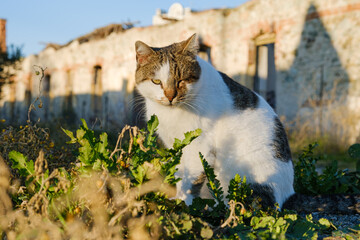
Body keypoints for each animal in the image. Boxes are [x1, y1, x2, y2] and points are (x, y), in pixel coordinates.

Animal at [134, 33, 294, 208]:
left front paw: (184, 201)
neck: (172, 112)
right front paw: (178, 198)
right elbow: (180, 173)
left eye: (181, 80)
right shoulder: (176, 146)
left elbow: (190, 179)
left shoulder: (199, 146)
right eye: (156, 82)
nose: (170, 96)